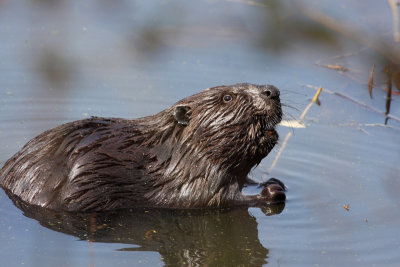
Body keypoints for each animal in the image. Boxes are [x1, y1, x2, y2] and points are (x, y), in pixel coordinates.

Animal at [0, 82, 284, 213]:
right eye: (227, 97)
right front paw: (272, 191)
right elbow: (208, 199)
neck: (172, 151)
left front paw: (272, 181)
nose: (272, 91)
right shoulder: (188, 178)